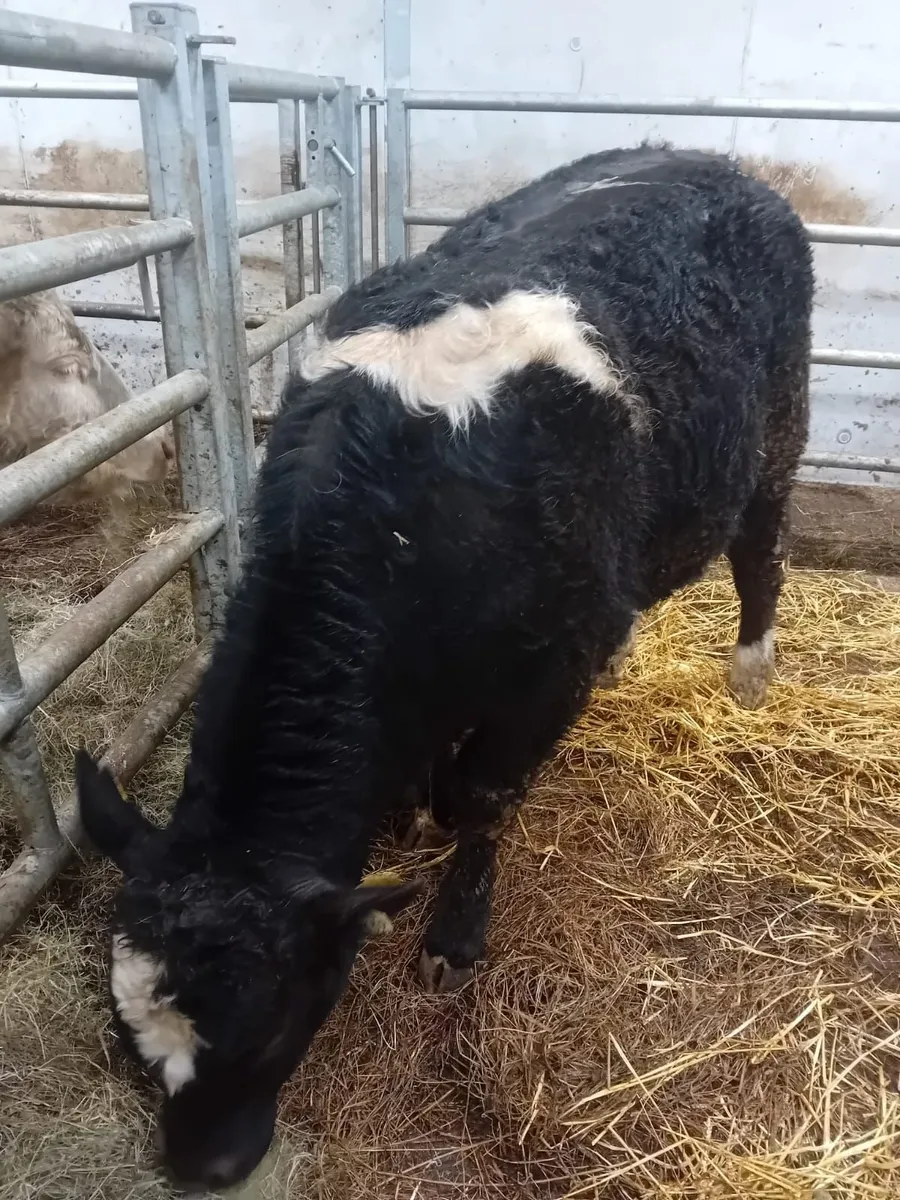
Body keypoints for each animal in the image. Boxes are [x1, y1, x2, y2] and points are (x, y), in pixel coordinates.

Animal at [76, 146, 813, 1191]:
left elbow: (482, 799)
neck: (402, 514)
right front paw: (404, 830)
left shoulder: (546, 670)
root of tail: (709, 159)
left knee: (760, 551)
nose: (199, 1169)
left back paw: (751, 671)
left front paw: (454, 934)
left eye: (270, 1034)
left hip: (777, 433)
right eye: (128, 1032)